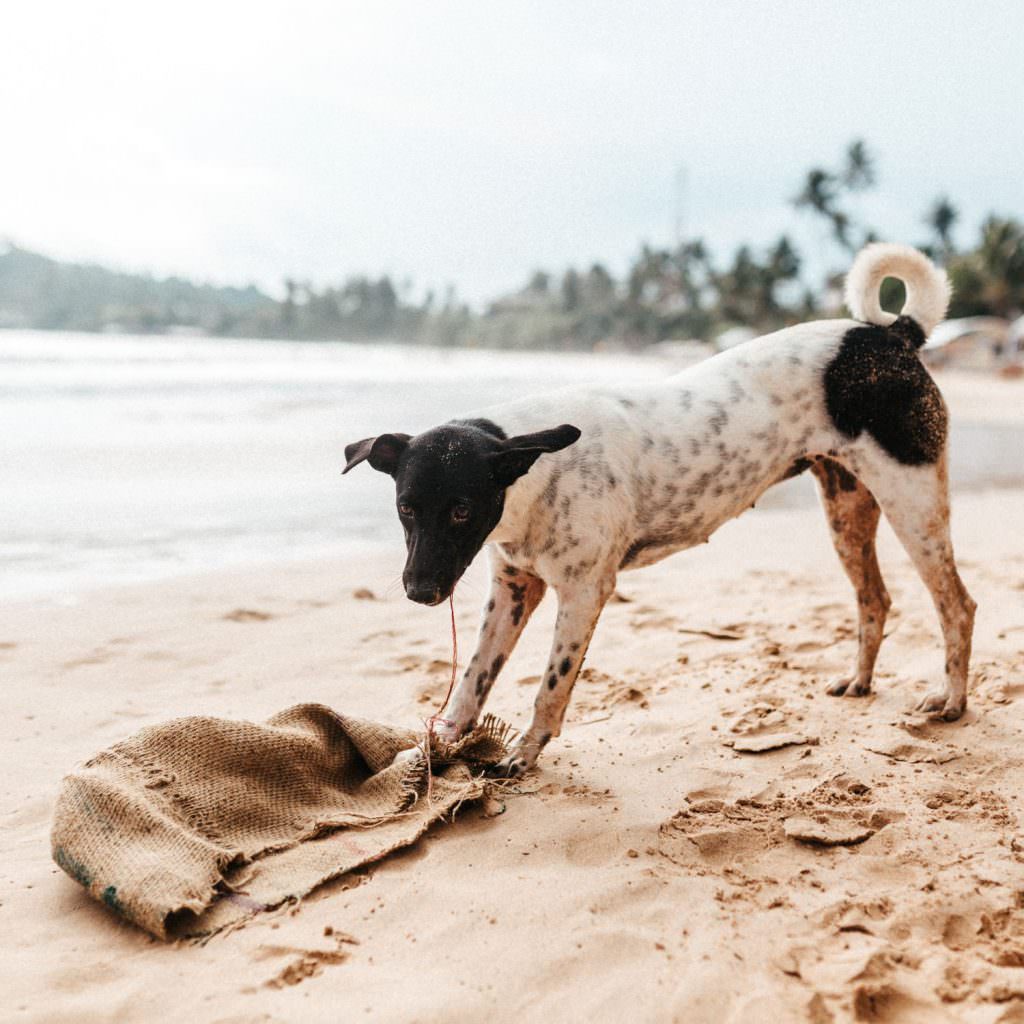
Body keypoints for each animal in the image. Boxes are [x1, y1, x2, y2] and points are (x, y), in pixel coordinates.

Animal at [342, 245, 974, 774]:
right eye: (405, 508)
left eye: (461, 511)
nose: (419, 591)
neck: (535, 473)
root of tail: (889, 335)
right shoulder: (514, 586)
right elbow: (473, 677)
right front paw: (439, 745)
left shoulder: (583, 593)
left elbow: (551, 686)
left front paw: (523, 753)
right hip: (846, 510)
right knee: (876, 599)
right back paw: (860, 681)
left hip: (912, 502)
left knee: (957, 606)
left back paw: (952, 701)